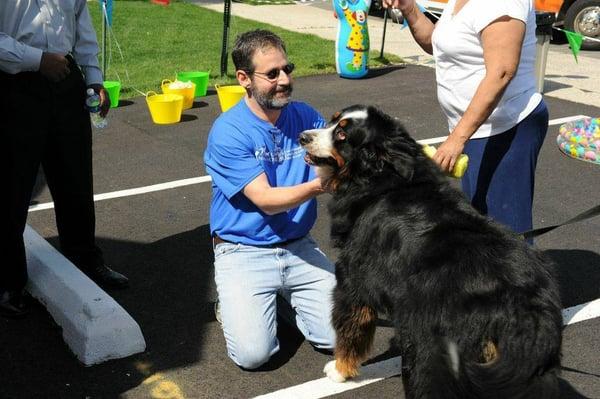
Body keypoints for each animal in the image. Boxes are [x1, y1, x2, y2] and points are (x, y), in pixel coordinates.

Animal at [300, 104, 564, 398]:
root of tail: (525, 308)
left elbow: (349, 332)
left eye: (343, 135)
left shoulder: (353, 283)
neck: (379, 179)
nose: (303, 137)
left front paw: (339, 370)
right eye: (332, 121)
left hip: (432, 349)